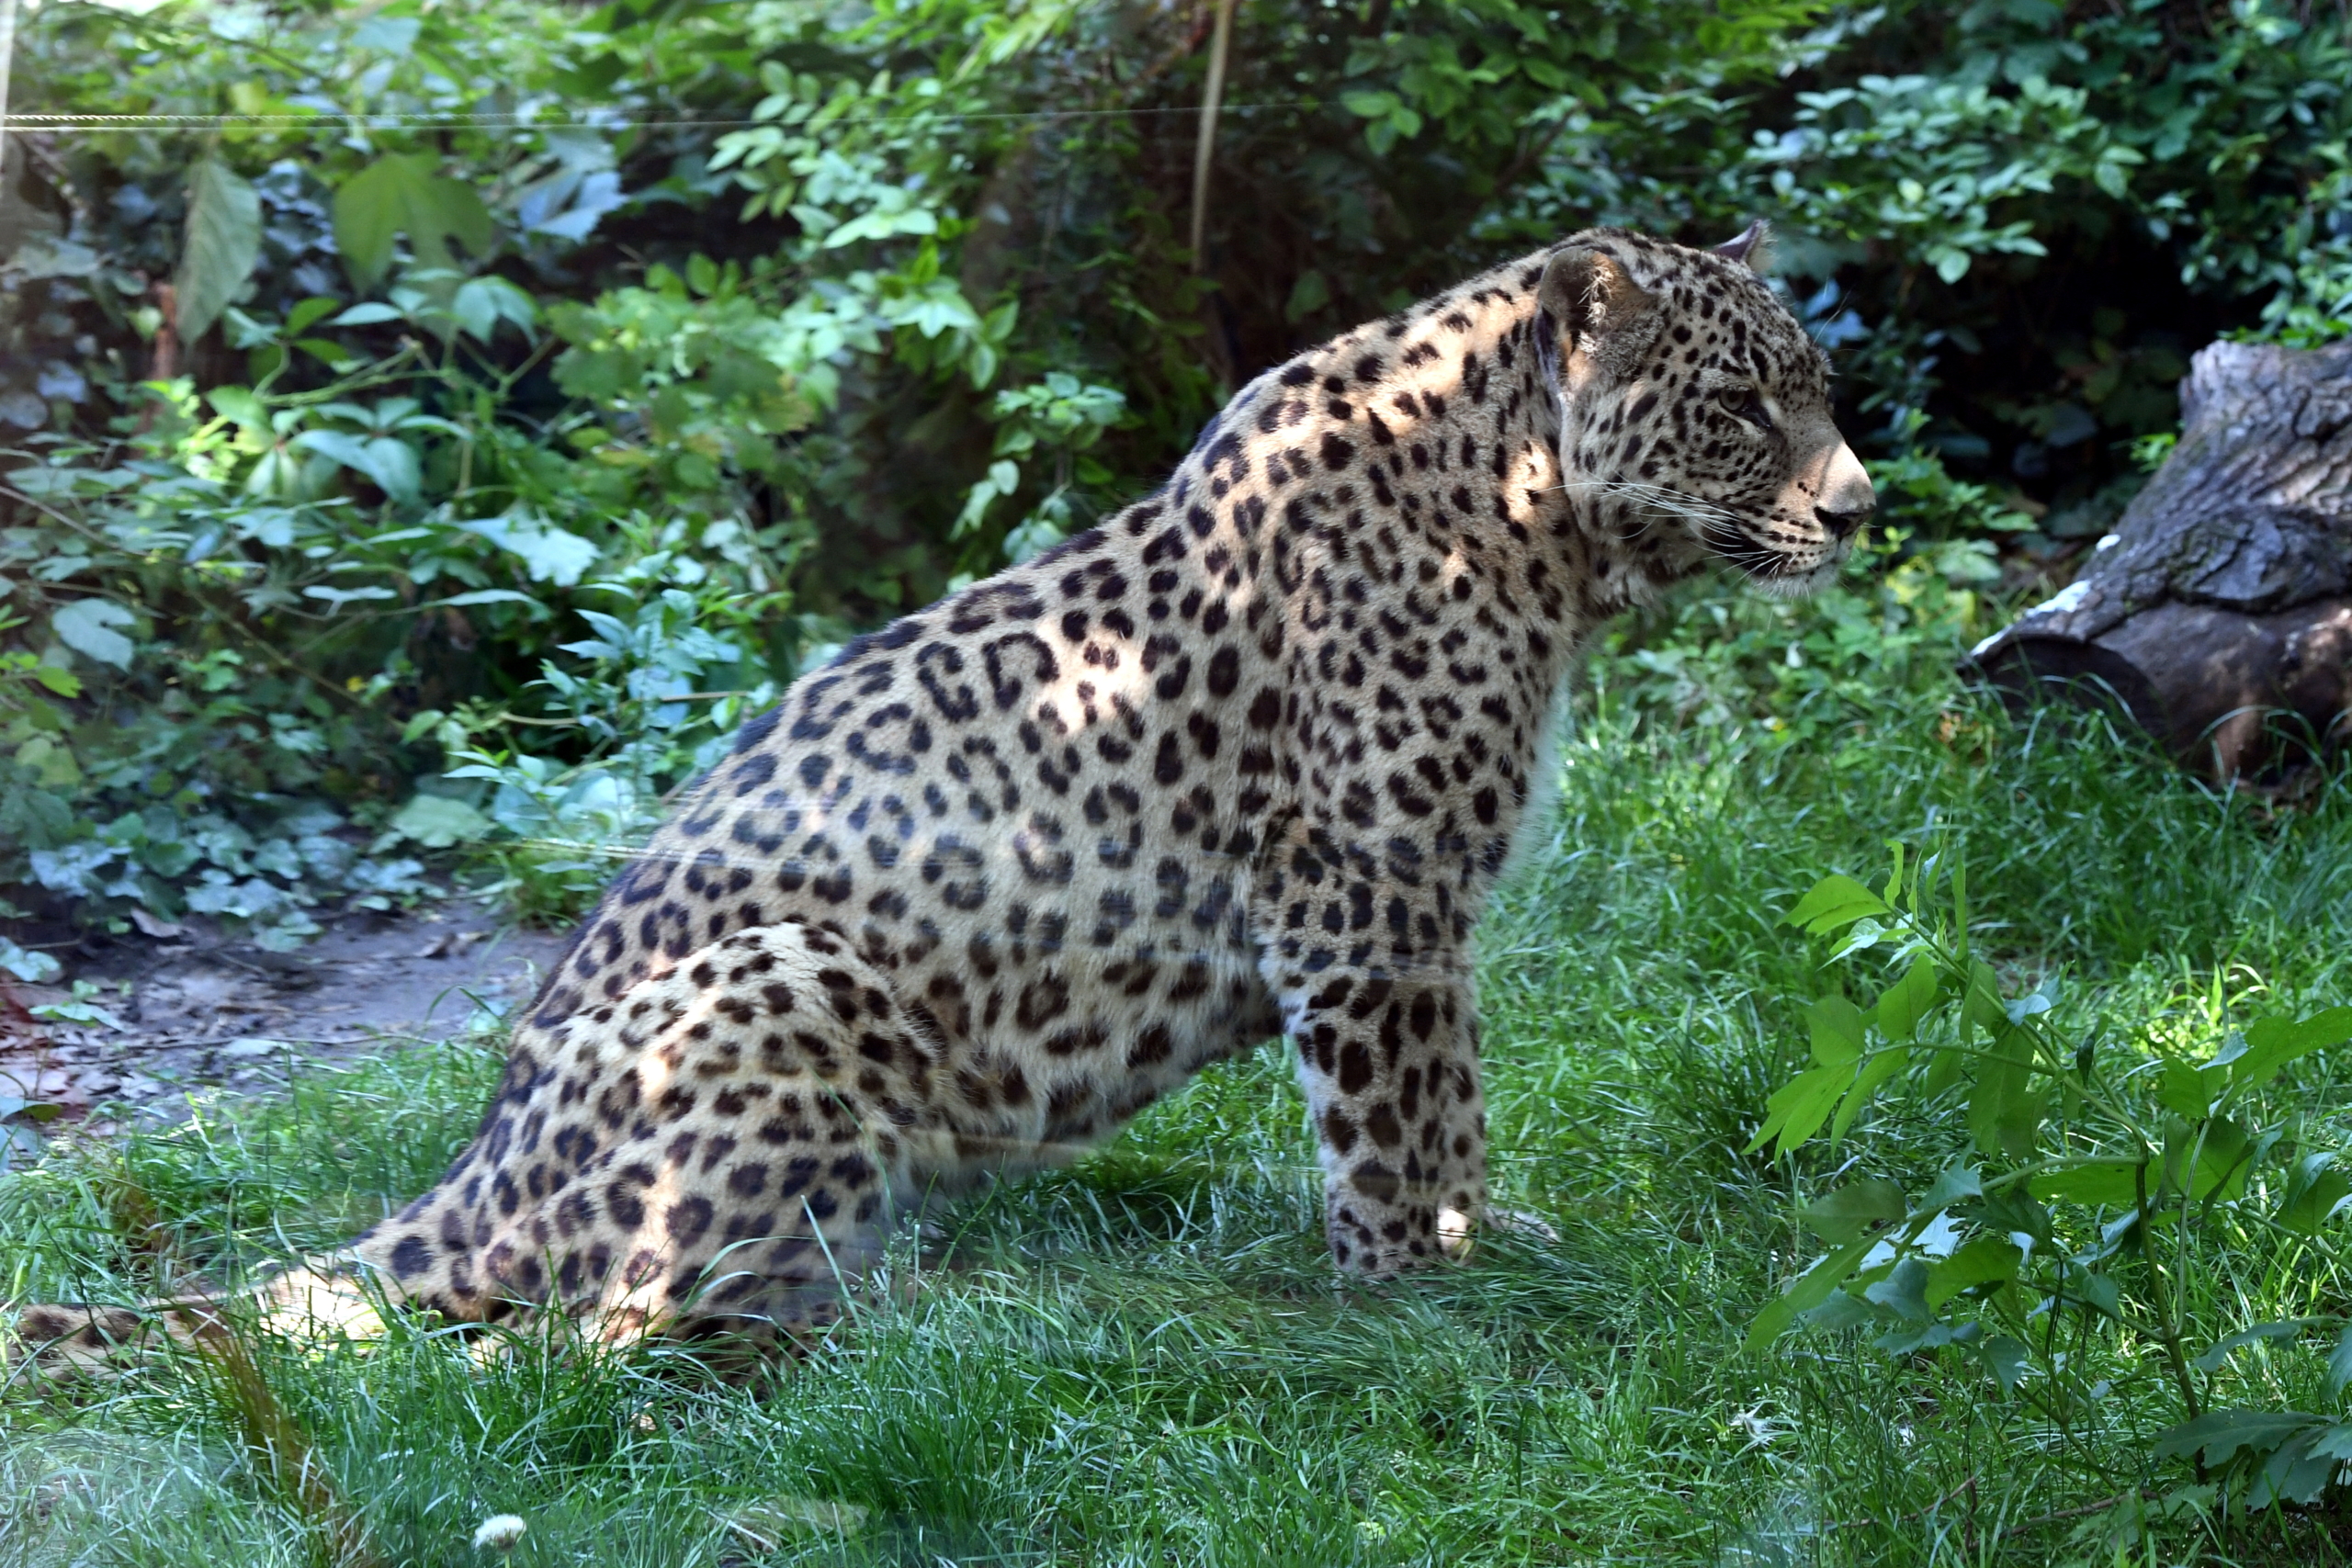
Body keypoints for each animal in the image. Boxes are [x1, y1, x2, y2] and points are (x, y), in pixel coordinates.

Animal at [5, 223, 1871, 1372]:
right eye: (1736, 407)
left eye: (1823, 391)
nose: (1860, 510)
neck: (1540, 529)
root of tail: (480, 1160)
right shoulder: (1363, 895)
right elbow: (1396, 1123)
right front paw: (1421, 1302)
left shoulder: (1422, 914)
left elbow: (1459, 1103)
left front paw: (1496, 1246)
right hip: (778, 980)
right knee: (570, 1346)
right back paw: (918, 1334)